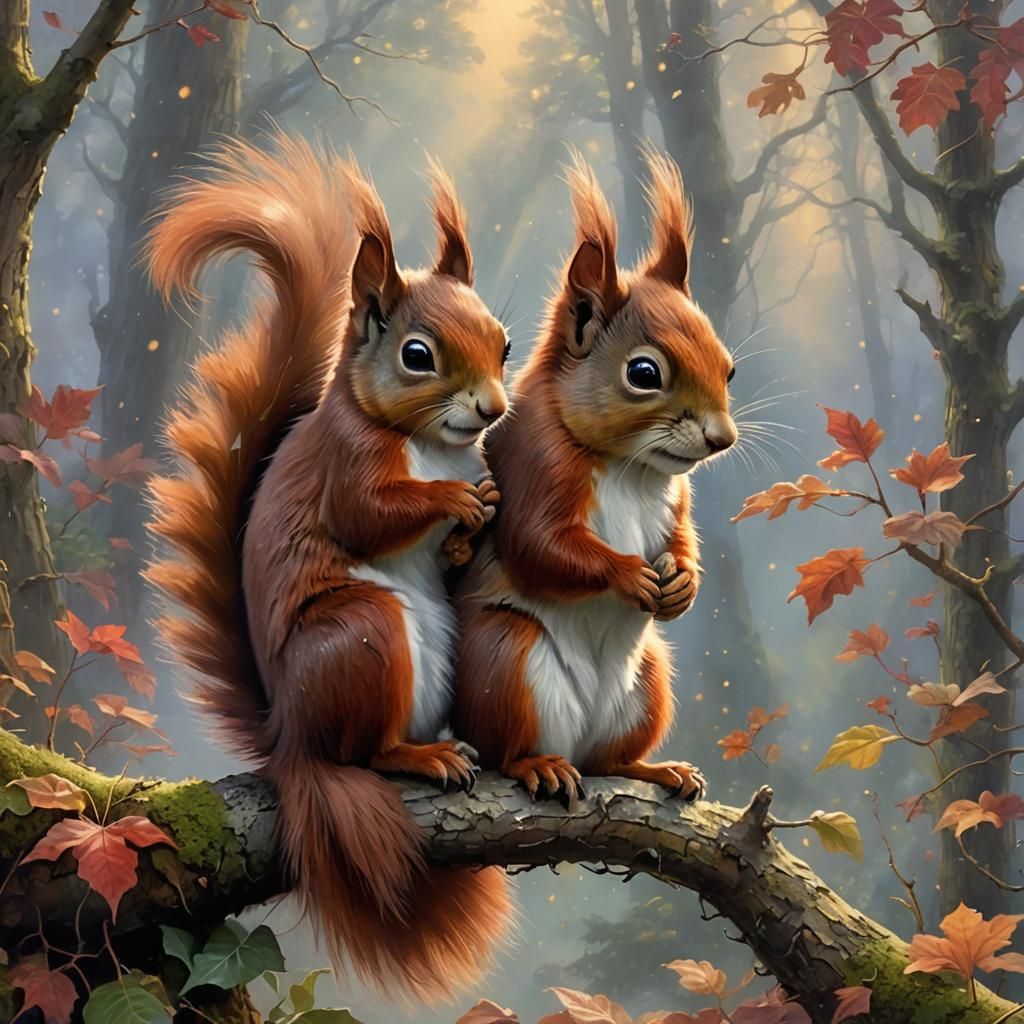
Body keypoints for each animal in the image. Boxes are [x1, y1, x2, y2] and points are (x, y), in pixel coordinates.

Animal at [145, 135, 512, 1002]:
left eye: (506, 342)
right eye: (417, 355)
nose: (492, 409)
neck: (429, 441)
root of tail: (288, 734)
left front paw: (476, 510)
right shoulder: (348, 466)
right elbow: (369, 516)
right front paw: (455, 499)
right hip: (361, 638)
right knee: (361, 752)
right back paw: (419, 756)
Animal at [453, 149, 737, 806]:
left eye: (729, 368)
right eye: (643, 373)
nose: (724, 438)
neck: (632, 467)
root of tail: (575, 740)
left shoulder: (677, 498)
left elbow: (681, 541)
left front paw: (683, 583)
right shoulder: (535, 464)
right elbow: (540, 545)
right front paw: (629, 575)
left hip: (650, 682)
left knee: (611, 760)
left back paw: (658, 771)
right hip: (505, 661)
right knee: (506, 751)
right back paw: (539, 766)